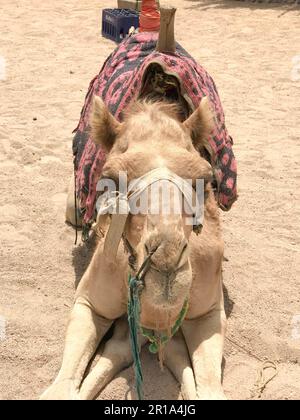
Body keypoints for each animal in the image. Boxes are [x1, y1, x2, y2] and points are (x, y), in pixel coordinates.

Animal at [41, 5, 227, 400]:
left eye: (205, 179)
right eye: (110, 178)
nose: (167, 263)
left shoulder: (208, 310)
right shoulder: (88, 303)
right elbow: (67, 382)